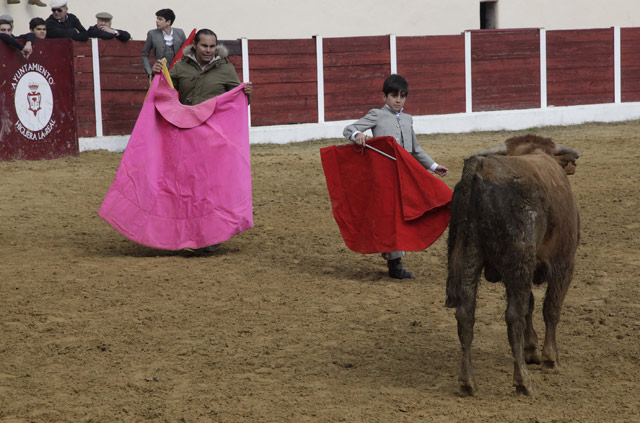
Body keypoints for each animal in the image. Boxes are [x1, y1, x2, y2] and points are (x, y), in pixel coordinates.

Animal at [444, 136, 580, 398]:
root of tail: (479, 170)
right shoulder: (564, 263)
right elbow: (550, 307)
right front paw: (549, 358)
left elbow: (531, 304)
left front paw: (531, 349)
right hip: (518, 261)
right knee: (513, 316)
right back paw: (522, 381)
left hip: (469, 257)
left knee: (465, 314)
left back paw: (468, 382)